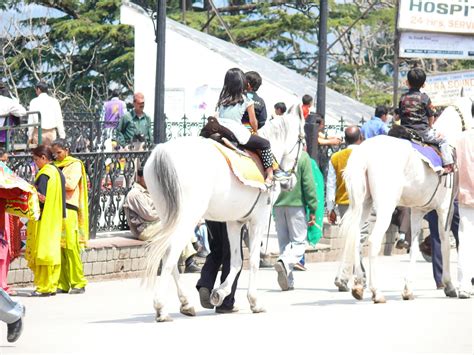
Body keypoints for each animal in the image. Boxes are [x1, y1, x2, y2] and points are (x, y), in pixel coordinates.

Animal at [143, 111, 304, 322]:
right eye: (303, 141)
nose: (290, 182)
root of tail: (162, 151)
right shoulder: (258, 219)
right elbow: (252, 261)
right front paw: (254, 301)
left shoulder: (234, 222)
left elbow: (236, 261)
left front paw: (219, 292)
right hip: (187, 218)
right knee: (171, 255)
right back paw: (161, 308)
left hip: (167, 215)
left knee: (166, 253)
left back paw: (186, 303)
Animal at [336, 96, 474, 304]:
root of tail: (364, 153)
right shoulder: (445, 208)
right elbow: (444, 243)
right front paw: (449, 285)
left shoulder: (417, 211)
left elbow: (415, 245)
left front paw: (408, 289)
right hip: (385, 207)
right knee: (373, 240)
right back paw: (376, 291)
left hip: (364, 205)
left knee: (356, 238)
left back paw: (358, 285)